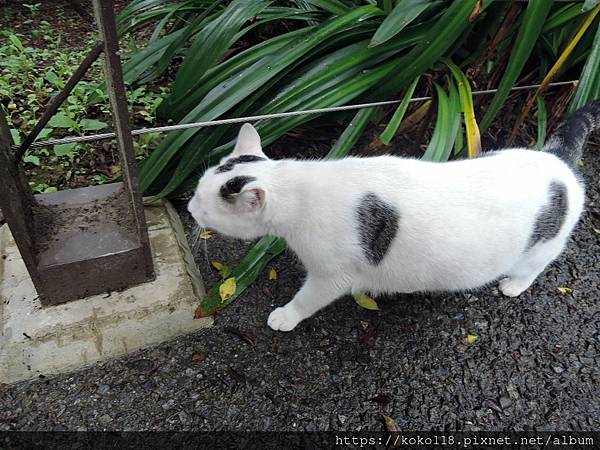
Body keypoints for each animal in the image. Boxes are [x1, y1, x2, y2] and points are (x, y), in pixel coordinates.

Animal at [188, 103, 600, 334]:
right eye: (195, 191)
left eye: (203, 204)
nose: (190, 209)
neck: (299, 188)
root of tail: (558, 159)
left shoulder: (332, 276)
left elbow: (307, 299)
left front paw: (286, 316)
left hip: (540, 249)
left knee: (534, 267)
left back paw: (514, 284)